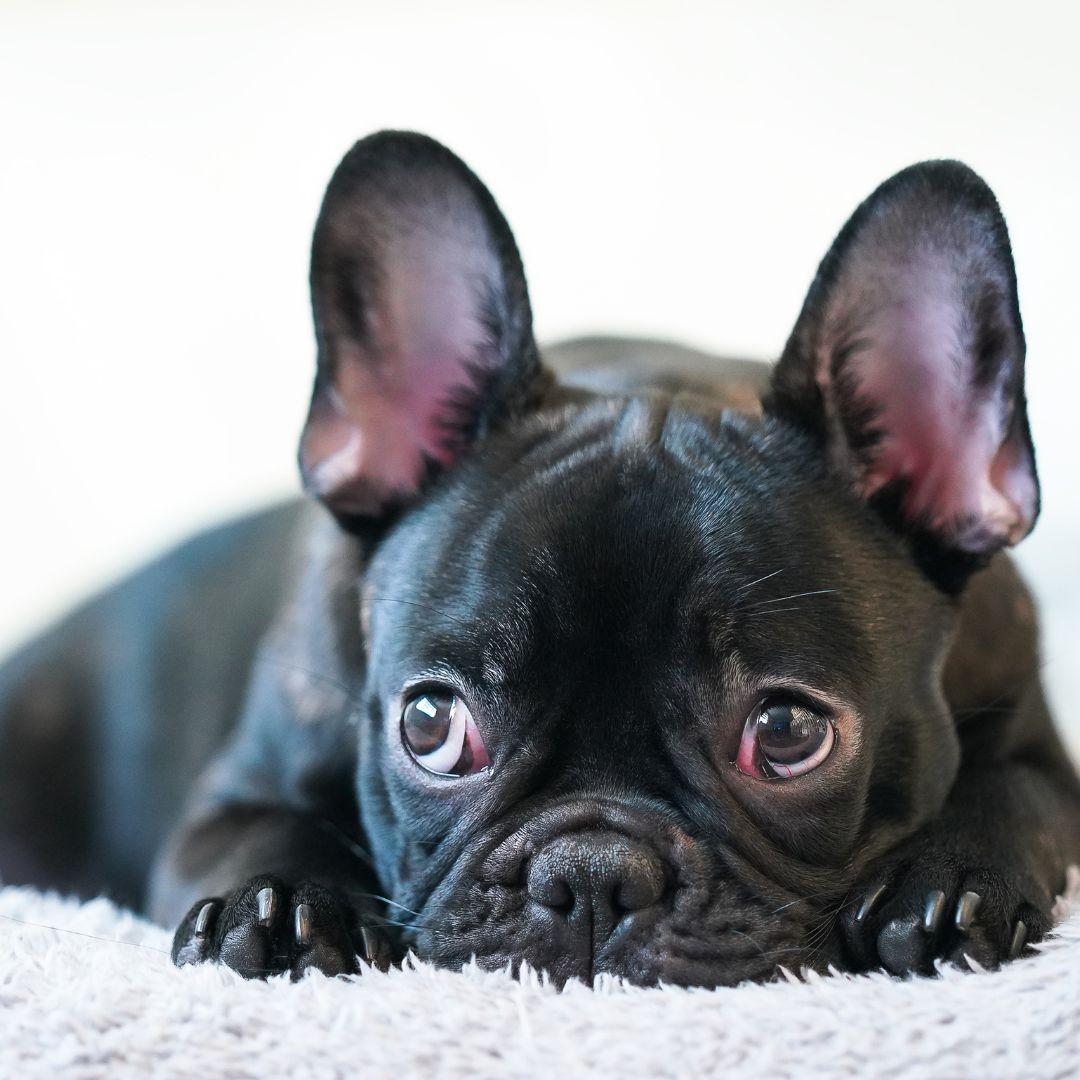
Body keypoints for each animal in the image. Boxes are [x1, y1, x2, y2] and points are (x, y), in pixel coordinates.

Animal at [0, 130, 1075, 989]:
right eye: (430, 725)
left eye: (785, 734)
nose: (590, 874)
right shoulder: (235, 795)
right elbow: (264, 828)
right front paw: (280, 906)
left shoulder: (1036, 737)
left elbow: (1014, 797)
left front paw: (948, 883)